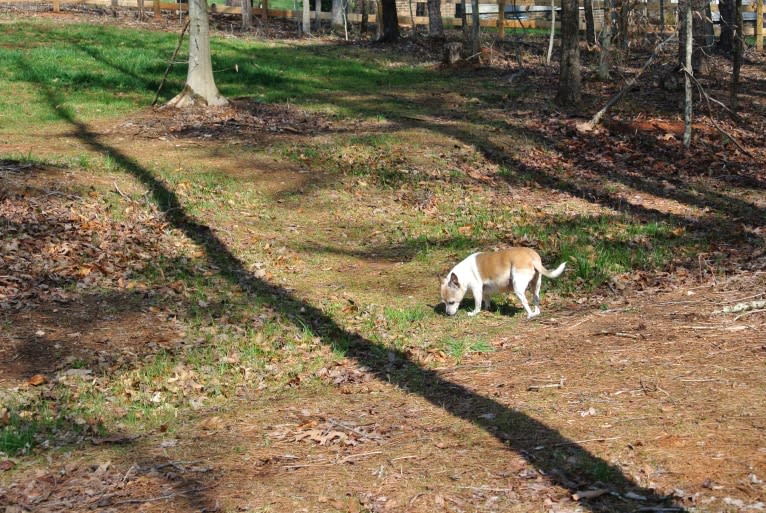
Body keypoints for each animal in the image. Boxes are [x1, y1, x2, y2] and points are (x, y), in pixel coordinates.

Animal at [440, 247, 568, 316]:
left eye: (451, 302)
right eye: (444, 302)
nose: (447, 314)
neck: (464, 272)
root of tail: (531, 256)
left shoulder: (477, 290)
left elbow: (477, 304)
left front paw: (474, 313)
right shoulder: (485, 291)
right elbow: (486, 300)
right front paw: (487, 309)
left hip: (518, 287)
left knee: (525, 302)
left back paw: (530, 315)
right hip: (536, 285)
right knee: (536, 299)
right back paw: (536, 313)